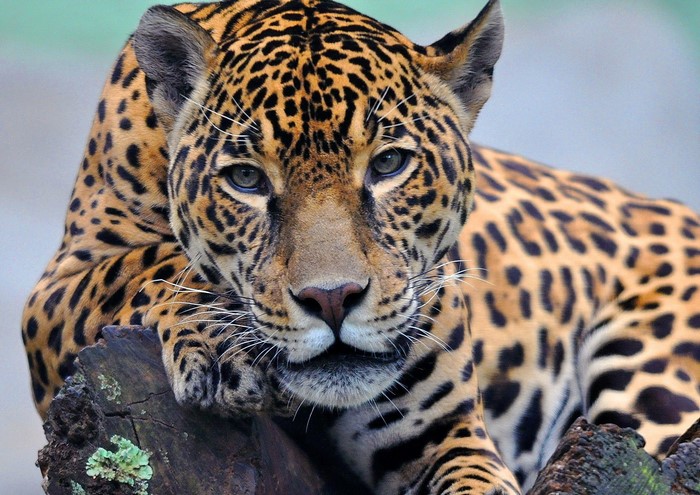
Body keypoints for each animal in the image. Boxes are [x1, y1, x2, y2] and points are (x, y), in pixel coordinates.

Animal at [22, 0, 700, 493]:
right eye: (246, 179)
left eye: (389, 165)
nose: (333, 298)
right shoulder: (54, 292)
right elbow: (147, 264)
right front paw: (220, 344)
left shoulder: (446, 437)